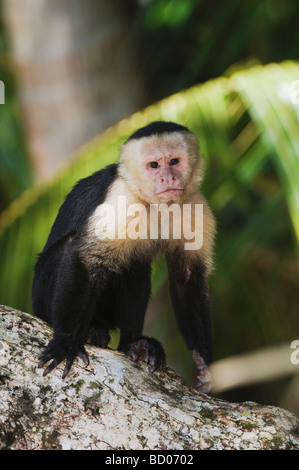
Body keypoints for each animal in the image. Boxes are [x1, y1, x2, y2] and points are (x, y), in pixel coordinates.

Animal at [32, 121, 216, 392]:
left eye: (174, 161)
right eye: (154, 165)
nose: (168, 177)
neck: (156, 203)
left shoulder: (196, 205)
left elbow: (187, 278)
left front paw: (203, 361)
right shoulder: (120, 198)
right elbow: (84, 259)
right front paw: (65, 344)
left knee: (136, 267)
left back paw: (134, 344)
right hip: (42, 301)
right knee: (73, 247)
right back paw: (91, 332)